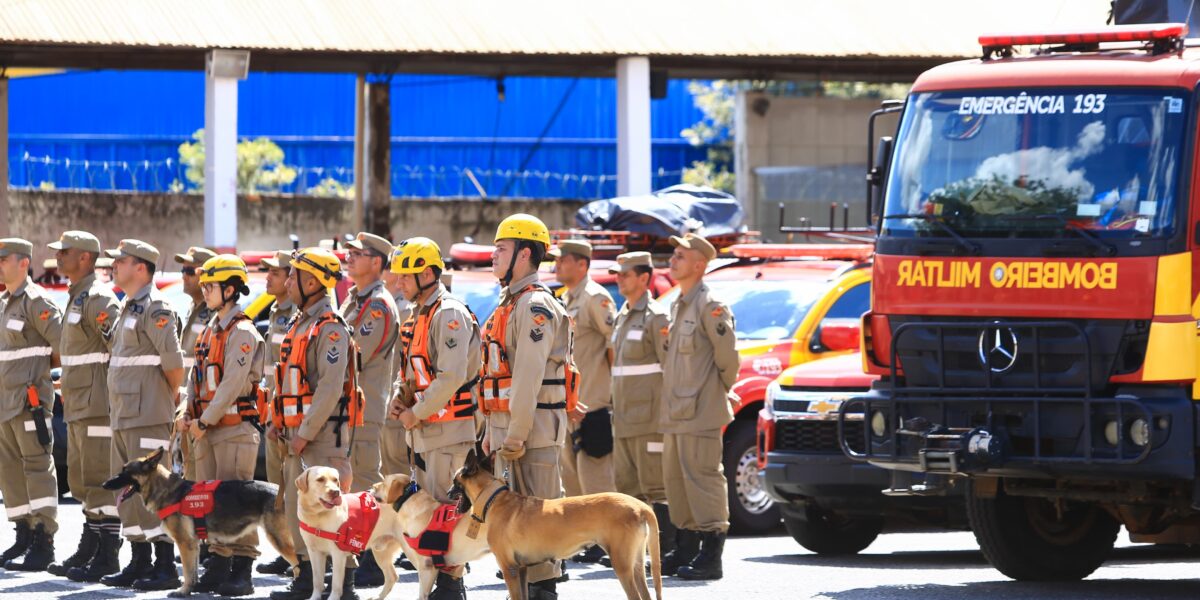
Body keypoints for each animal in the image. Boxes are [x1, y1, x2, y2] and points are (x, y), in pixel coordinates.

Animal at [105, 448, 297, 597]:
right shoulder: (193, 544)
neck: (167, 490)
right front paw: (191, 589)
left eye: (125, 471)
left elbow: (188, 571)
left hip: (278, 539)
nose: (104, 484)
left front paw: (182, 592)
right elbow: (193, 571)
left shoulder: (184, 543)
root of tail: (282, 492)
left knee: (298, 564)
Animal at [451, 451, 667, 597]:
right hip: (636, 565)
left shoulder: (509, 569)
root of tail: (640, 506)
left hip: (622, 565)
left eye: (454, 482)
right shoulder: (521, 570)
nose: (447, 493)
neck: (494, 498)